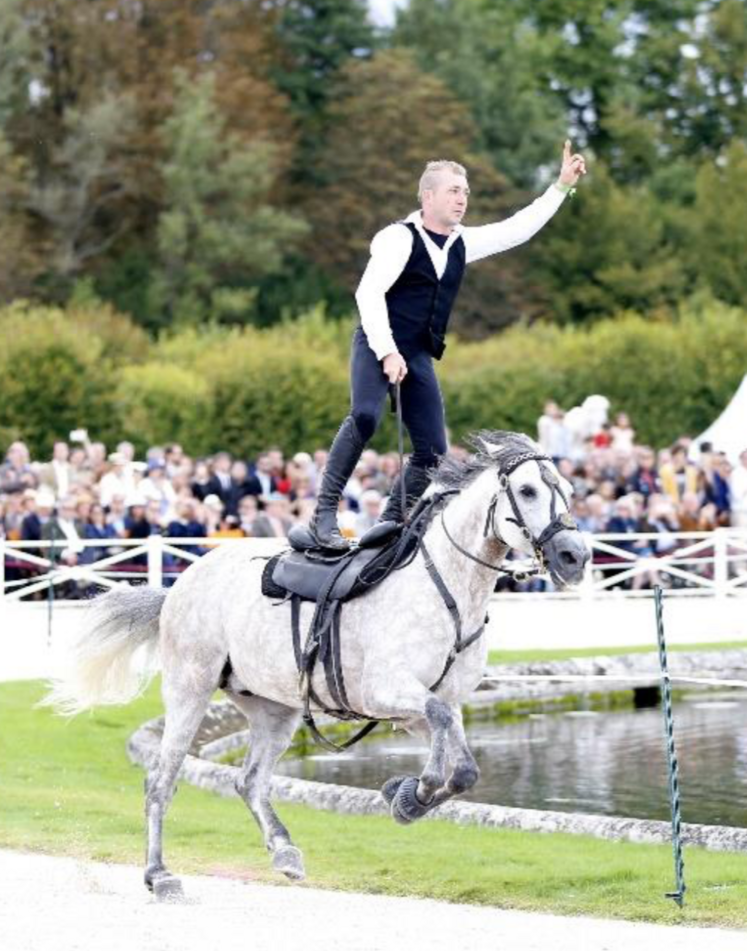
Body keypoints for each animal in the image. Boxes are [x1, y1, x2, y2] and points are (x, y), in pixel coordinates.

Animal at [46, 432, 592, 900]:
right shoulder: (388, 691)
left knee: (249, 781)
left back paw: (285, 852)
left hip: (275, 709)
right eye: (527, 490)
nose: (575, 556)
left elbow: (463, 769)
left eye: (567, 490)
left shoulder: (427, 705)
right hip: (189, 691)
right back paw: (160, 876)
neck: (448, 590)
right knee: (161, 781)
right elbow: (444, 745)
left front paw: (406, 796)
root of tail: (182, 583)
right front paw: (412, 792)